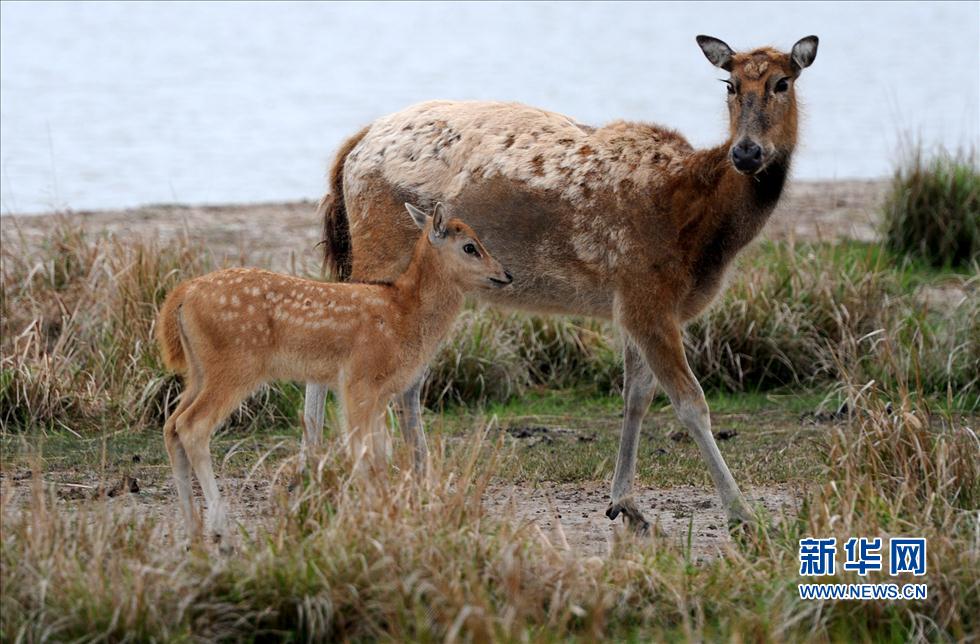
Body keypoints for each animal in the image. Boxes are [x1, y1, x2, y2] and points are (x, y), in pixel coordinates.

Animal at [306, 32, 820, 532]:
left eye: (782, 83)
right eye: (730, 84)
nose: (747, 151)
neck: (701, 235)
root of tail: (352, 148)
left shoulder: (631, 302)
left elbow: (636, 396)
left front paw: (625, 503)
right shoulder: (647, 295)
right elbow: (691, 403)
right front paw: (742, 514)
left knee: (405, 375)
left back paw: (407, 477)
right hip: (378, 248)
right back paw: (323, 470)